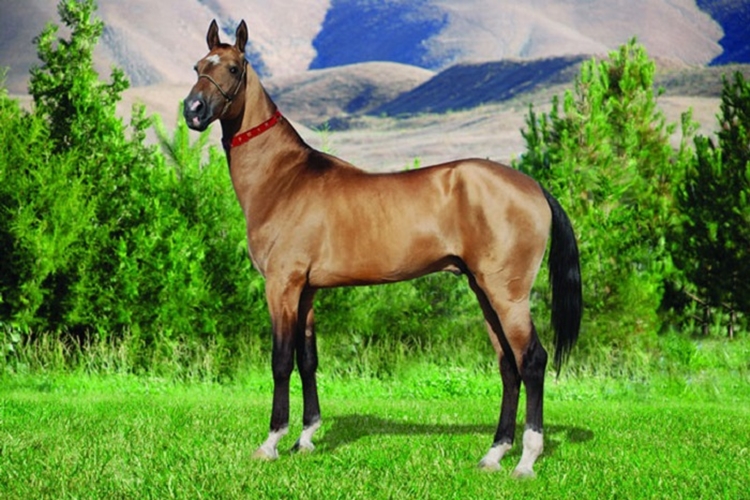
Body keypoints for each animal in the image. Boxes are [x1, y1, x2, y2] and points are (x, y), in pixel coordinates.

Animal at [183, 19, 582, 477]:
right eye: (198, 65)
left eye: (232, 68)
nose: (192, 110)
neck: (285, 179)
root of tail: (533, 186)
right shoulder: (307, 291)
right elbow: (308, 359)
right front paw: (307, 437)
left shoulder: (282, 286)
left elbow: (281, 361)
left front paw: (272, 442)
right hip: (484, 291)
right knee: (508, 365)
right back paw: (495, 453)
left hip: (507, 294)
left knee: (531, 360)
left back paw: (527, 460)